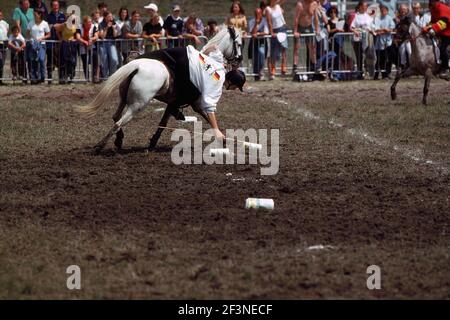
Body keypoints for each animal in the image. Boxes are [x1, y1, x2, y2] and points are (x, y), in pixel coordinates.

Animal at [77, 26, 243, 151]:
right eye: (239, 44)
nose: (240, 59)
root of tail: (136, 65)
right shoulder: (192, 102)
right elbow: (207, 116)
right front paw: (222, 137)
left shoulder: (176, 104)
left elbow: (163, 123)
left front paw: (152, 143)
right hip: (137, 105)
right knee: (119, 122)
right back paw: (101, 145)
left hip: (123, 99)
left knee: (116, 117)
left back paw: (118, 140)